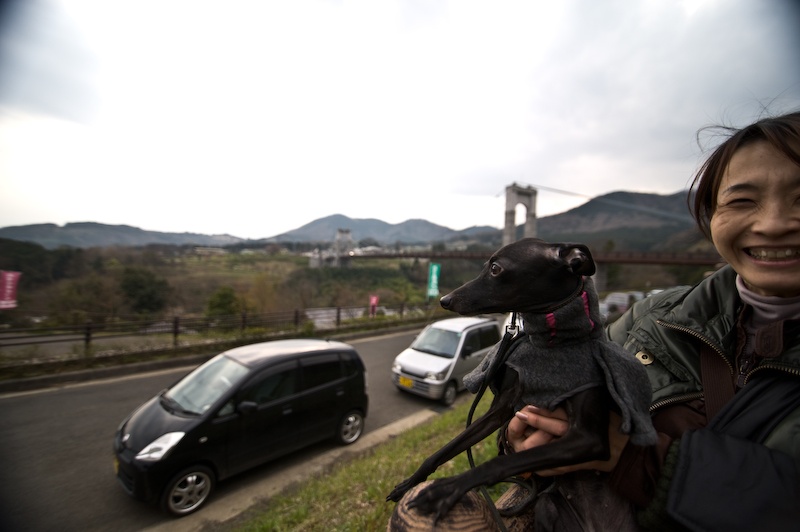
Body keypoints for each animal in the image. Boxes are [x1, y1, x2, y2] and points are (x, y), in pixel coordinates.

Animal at [386, 238, 657, 528]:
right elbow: (447, 449)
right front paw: (409, 483)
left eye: (495, 268)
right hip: (548, 508)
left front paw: (449, 487)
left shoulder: (590, 439)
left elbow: (500, 463)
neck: (551, 344)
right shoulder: (500, 410)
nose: (444, 300)